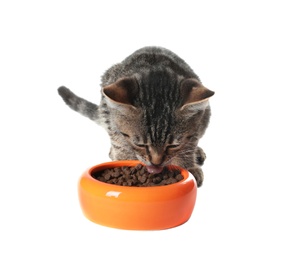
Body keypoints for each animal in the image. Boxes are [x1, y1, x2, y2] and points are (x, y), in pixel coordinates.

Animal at [57, 46, 214, 187]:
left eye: (173, 145)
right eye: (140, 144)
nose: (156, 163)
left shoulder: (199, 122)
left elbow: (189, 146)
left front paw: (188, 167)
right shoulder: (112, 120)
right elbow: (121, 145)